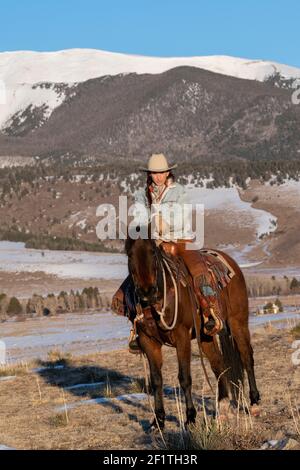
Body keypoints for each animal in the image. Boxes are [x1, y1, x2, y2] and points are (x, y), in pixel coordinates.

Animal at [125, 235, 260, 430]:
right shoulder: (148, 341)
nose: (147, 293)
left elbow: (184, 378)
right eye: (129, 254)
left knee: (246, 357)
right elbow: (156, 381)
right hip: (206, 336)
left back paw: (255, 403)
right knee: (218, 364)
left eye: (152, 252)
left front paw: (190, 418)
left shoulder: (181, 337)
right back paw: (222, 408)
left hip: (238, 322)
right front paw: (158, 421)